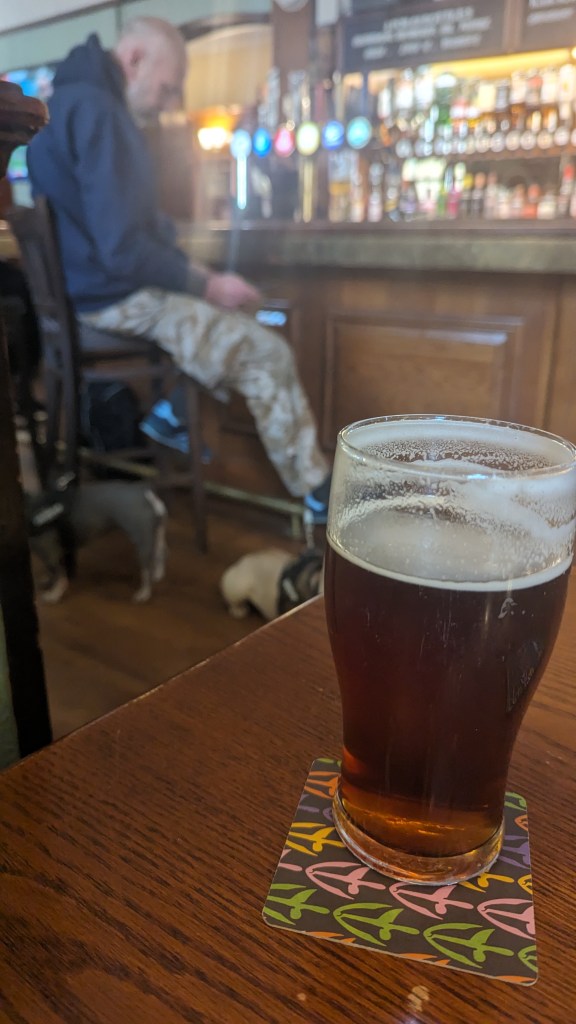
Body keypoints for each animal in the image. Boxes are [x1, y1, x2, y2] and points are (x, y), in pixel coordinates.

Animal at [26, 481, 167, 603]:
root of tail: (146, 495)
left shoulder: (49, 552)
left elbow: (59, 575)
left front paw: (54, 594)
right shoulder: (51, 554)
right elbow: (53, 571)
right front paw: (48, 580)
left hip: (142, 543)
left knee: (146, 571)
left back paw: (144, 593)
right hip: (156, 536)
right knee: (160, 553)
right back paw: (158, 574)